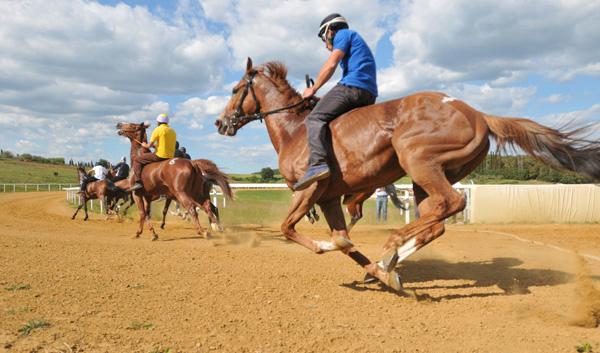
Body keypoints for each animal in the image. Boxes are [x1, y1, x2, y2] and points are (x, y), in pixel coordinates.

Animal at [217, 59, 600, 292]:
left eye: (236, 89)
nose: (220, 123)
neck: (295, 130)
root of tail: (478, 114)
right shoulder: (329, 197)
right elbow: (343, 239)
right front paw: (378, 273)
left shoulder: (309, 189)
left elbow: (291, 229)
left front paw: (338, 251)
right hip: (424, 177)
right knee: (435, 221)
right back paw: (389, 259)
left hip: (418, 160)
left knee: (452, 203)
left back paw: (392, 245)